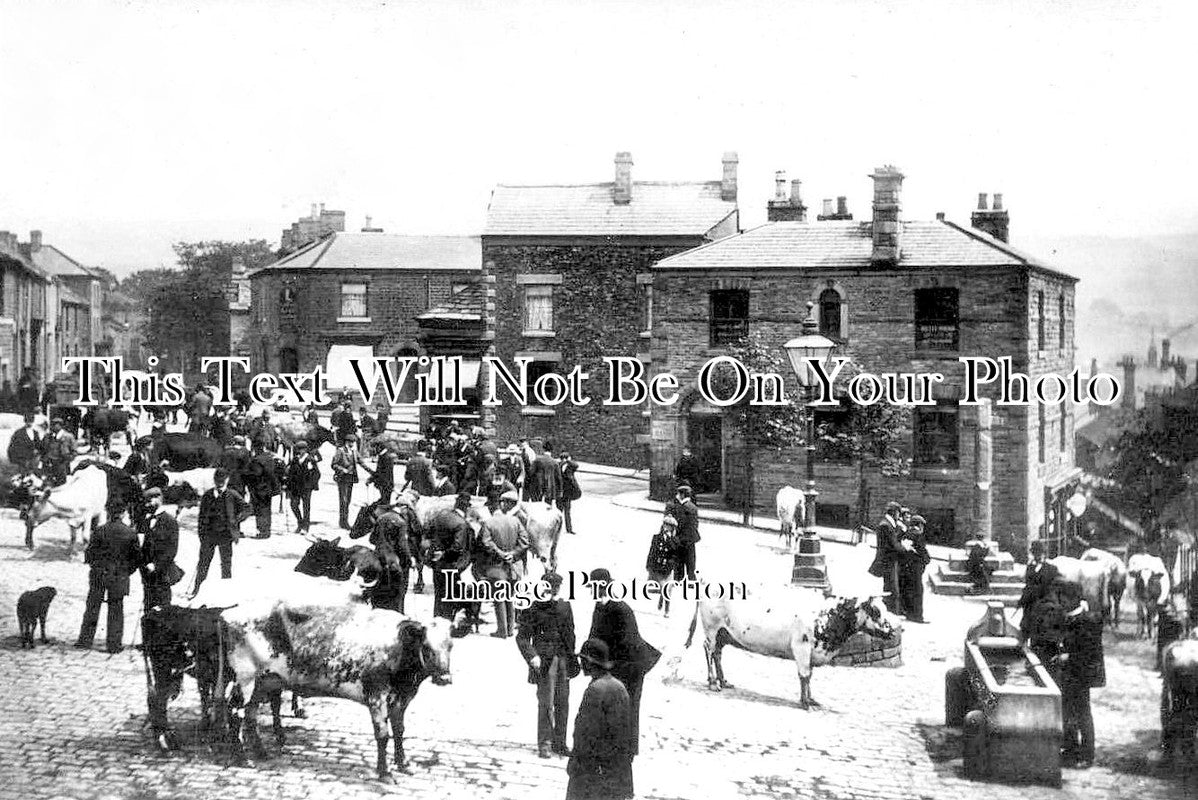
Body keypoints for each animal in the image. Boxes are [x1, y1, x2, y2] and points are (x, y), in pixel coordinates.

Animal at [220, 598, 452, 780]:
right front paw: (384, 772)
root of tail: (227, 613)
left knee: (250, 716)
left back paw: (260, 753)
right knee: (235, 714)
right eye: (427, 647)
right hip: (244, 680)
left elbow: (399, 731)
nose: (445, 678)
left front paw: (403, 763)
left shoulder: (401, 698)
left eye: (450, 646)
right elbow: (383, 734)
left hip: (262, 682)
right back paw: (242, 758)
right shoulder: (376, 696)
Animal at [685, 584, 900, 708]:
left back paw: (724, 681)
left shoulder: (812, 653)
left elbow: (809, 677)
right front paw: (805, 703)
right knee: (709, 650)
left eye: (886, 608)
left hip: (724, 632)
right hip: (712, 628)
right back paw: (713, 682)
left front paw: (811, 699)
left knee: (718, 654)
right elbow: (804, 676)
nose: (899, 628)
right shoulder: (802, 647)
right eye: (875, 611)